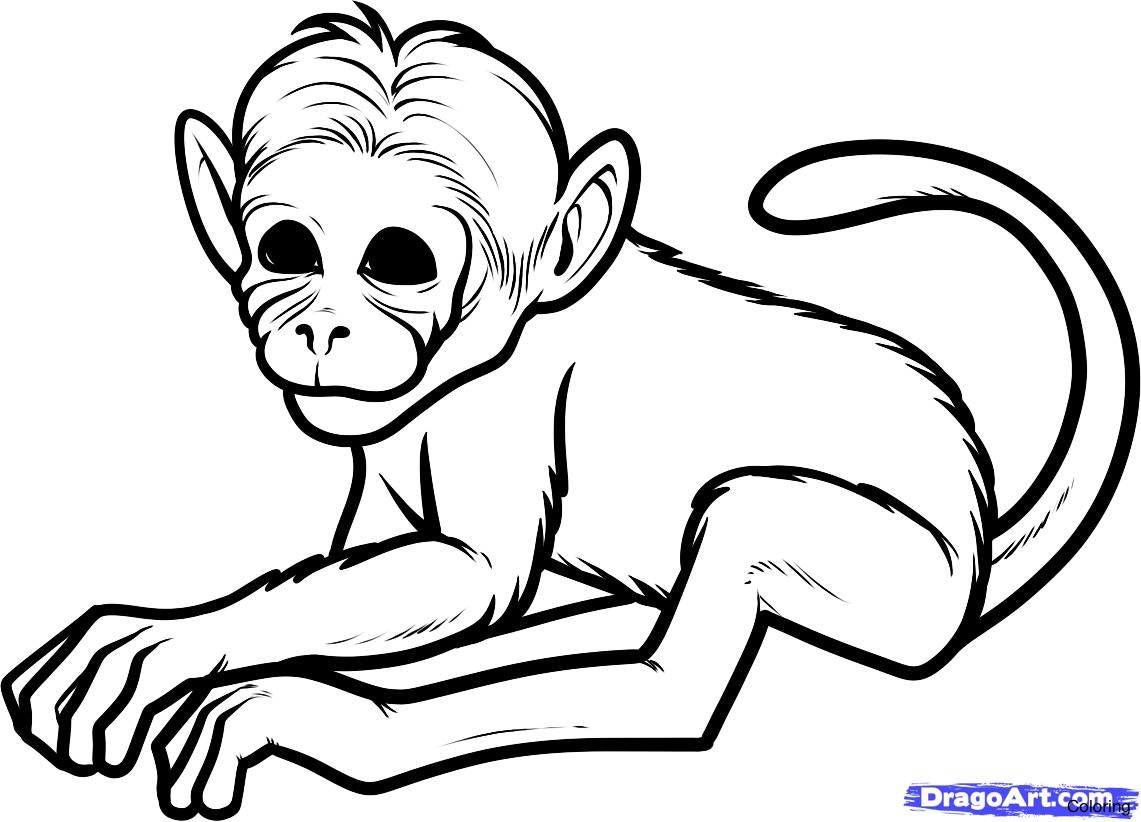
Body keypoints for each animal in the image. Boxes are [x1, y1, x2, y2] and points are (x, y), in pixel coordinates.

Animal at [3, 5, 1136, 819]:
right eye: (287, 250)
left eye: (397, 262)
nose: (323, 328)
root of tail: (978, 533)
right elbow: (376, 570)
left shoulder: (499, 408)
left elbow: (474, 575)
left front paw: (204, 652)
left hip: (903, 581)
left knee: (681, 658)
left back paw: (348, 724)